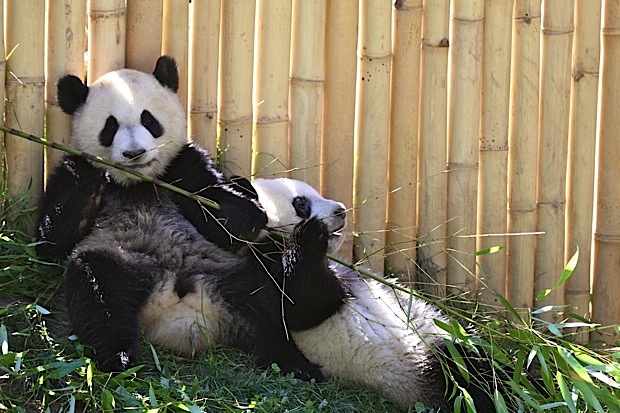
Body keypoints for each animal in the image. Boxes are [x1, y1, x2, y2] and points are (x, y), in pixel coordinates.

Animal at [35, 56, 322, 378]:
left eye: (149, 120)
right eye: (110, 126)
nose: (134, 153)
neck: (139, 182)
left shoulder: (181, 165)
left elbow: (214, 202)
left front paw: (244, 214)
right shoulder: (68, 169)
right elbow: (50, 239)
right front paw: (96, 175)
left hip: (232, 272)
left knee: (272, 308)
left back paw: (296, 362)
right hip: (123, 261)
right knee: (98, 292)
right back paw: (119, 357)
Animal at [249, 178, 496, 412]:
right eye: (300, 203)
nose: (340, 210)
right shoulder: (262, 263)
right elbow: (299, 304)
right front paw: (312, 232)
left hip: (440, 337)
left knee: (481, 363)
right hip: (434, 367)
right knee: (469, 380)